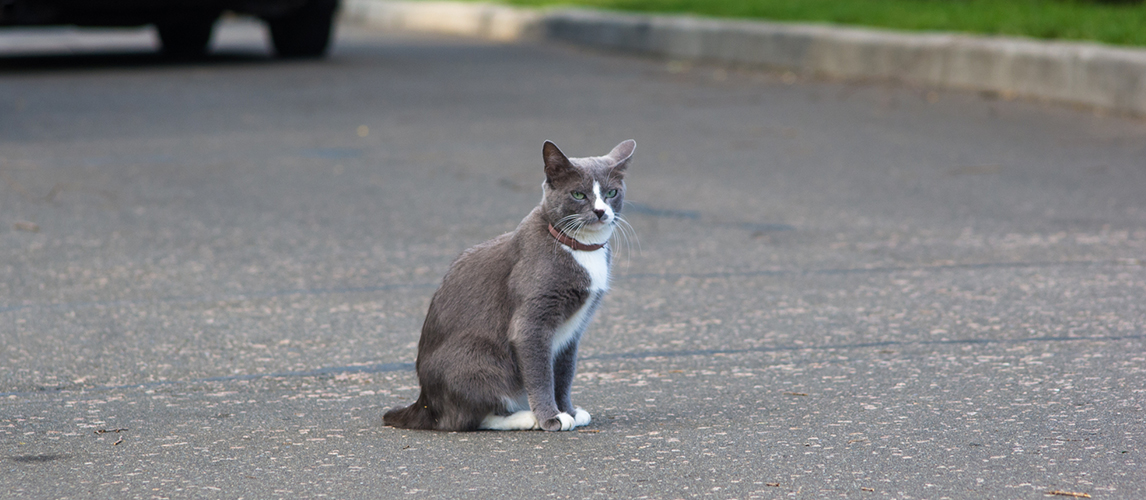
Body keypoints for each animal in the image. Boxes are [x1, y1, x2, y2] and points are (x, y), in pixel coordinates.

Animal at [385, 138, 637, 431]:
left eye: (611, 193)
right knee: (467, 418)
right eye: (578, 195)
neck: (578, 247)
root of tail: (425, 403)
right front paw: (551, 417)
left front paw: (569, 411)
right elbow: (541, 375)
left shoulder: (572, 332)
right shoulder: (532, 321)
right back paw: (525, 417)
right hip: (480, 360)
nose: (600, 211)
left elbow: (564, 374)